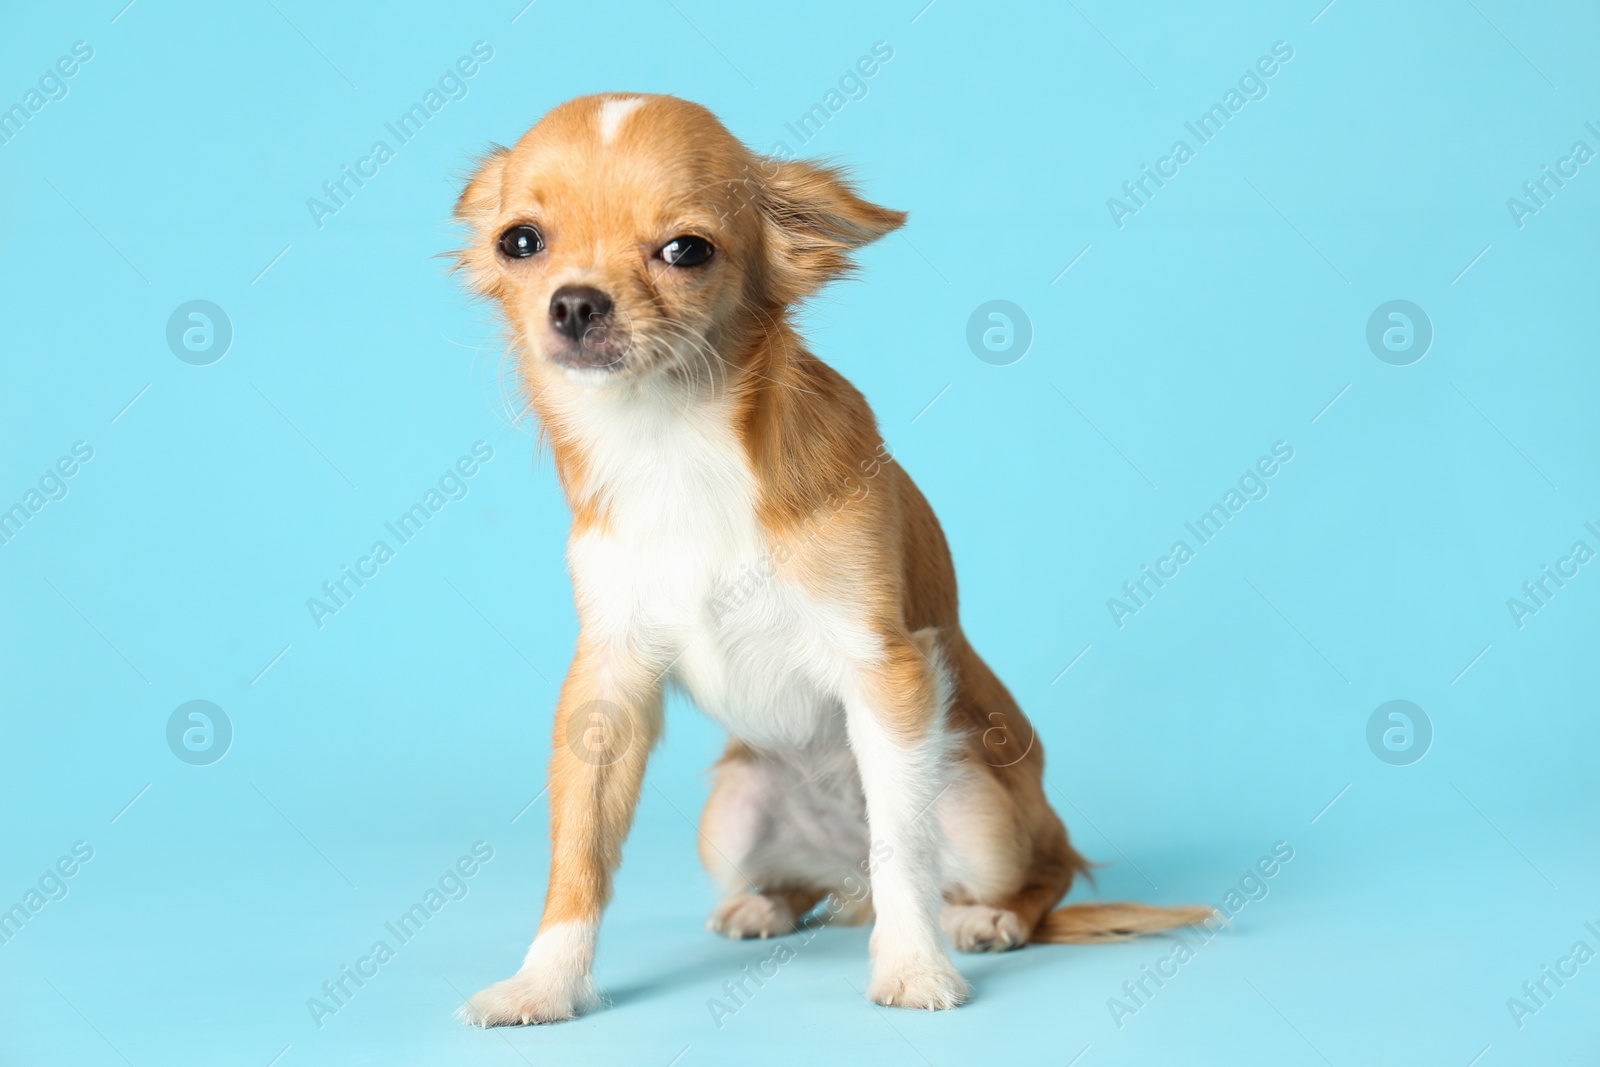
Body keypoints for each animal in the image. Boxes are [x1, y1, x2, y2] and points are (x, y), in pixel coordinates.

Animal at [451, 93, 1203, 1023]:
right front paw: (548, 981)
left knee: (1035, 873)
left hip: (982, 811)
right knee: (813, 884)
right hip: (730, 814)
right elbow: (580, 852)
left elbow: (904, 847)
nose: (575, 304)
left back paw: (987, 917)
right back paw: (764, 902)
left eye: (686, 250)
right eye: (520, 241)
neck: (671, 441)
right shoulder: (609, 686)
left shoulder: (886, 669)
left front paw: (912, 966)